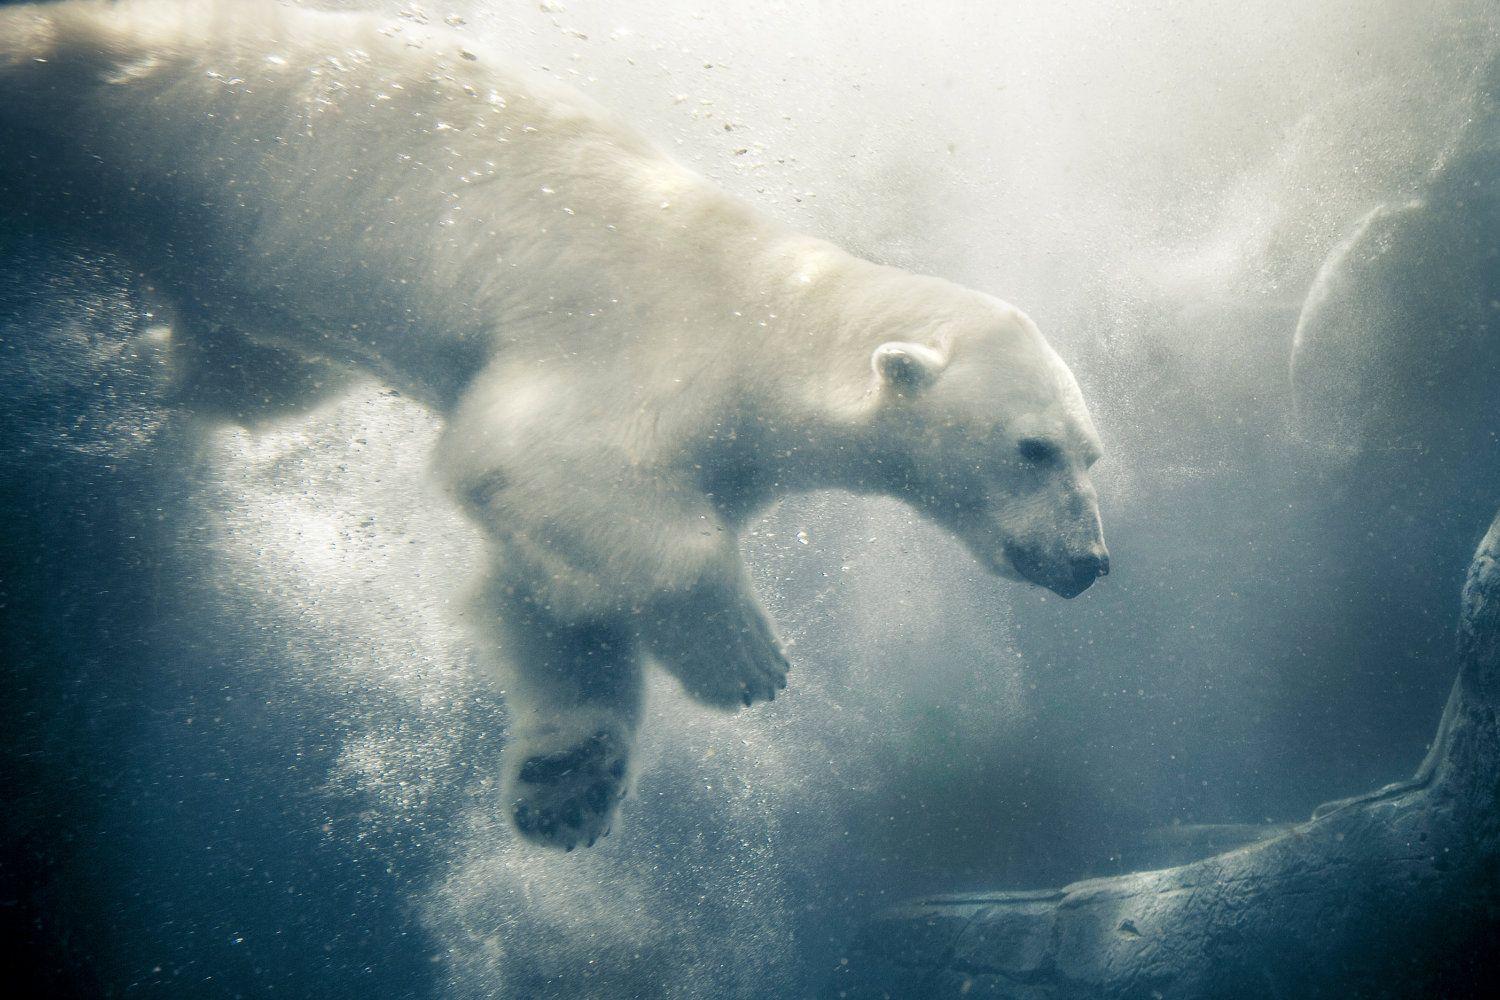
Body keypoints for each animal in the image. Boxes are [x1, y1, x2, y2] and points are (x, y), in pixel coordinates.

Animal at [0, 0, 1109, 850]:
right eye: (1033, 448)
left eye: (1091, 453)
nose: (1090, 563)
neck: (771, 321)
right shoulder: (640, 352)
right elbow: (542, 468)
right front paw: (746, 661)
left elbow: (547, 592)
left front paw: (566, 783)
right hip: (151, 78)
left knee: (248, 368)